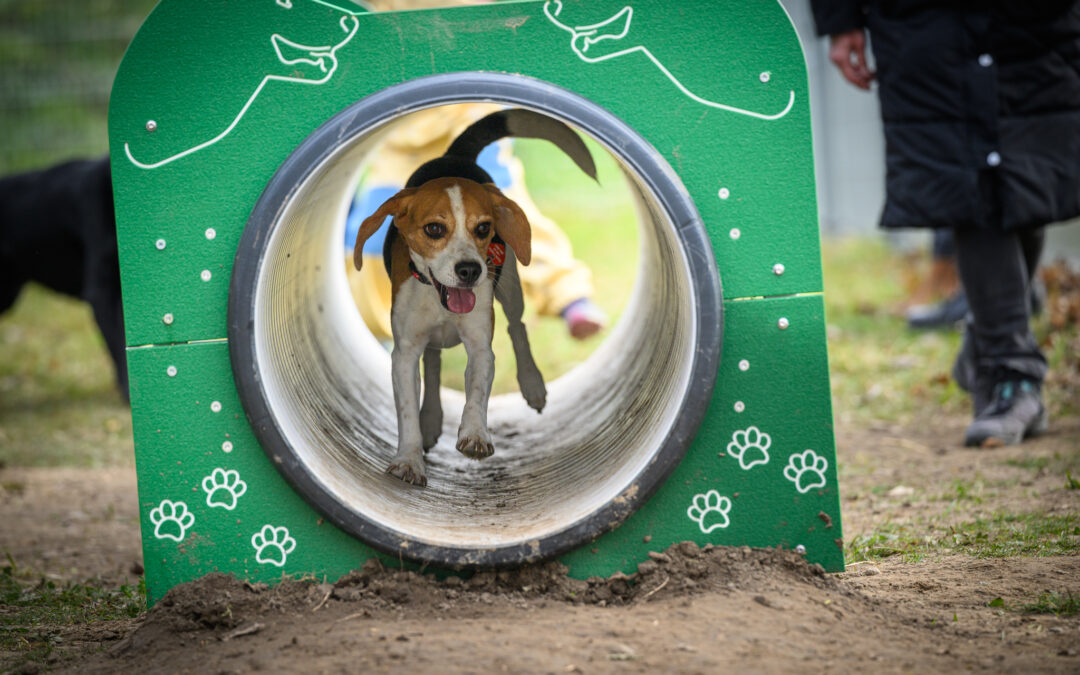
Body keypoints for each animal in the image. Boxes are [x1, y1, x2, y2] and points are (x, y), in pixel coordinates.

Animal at [352, 108, 596, 483]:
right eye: (434, 229)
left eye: (483, 228)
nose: (470, 270)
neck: (439, 299)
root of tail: (455, 155)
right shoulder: (404, 353)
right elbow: (406, 412)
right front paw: (408, 460)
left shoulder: (481, 346)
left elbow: (477, 393)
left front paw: (475, 435)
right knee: (433, 365)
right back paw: (431, 419)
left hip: (509, 285)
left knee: (517, 327)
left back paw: (532, 385)